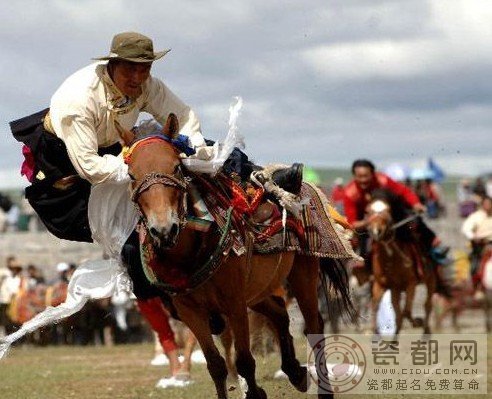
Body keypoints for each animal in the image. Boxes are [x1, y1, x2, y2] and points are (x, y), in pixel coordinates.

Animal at [122, 113, 354, 399]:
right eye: (132, 175)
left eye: (176, 167)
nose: (164, 229)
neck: (189, 253)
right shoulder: (190, 311)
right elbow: (216, 365)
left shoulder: (234, 303)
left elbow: (244, 360)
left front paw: (255, 393)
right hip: (258, 289)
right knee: (279, 313)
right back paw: (295, 372)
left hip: (302, 275)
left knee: (313, 326)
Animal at [368, 192, 436, 336]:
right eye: (368, 211)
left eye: (388, 211)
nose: (377, 231)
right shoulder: (382, 285)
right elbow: (376, 306)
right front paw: (376, 332)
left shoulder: (411, 284)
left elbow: (406, 311)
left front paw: (418, 322)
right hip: (396, 290)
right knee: (399, 314)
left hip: (430, 279)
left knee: (427, 305)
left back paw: (425, 331)